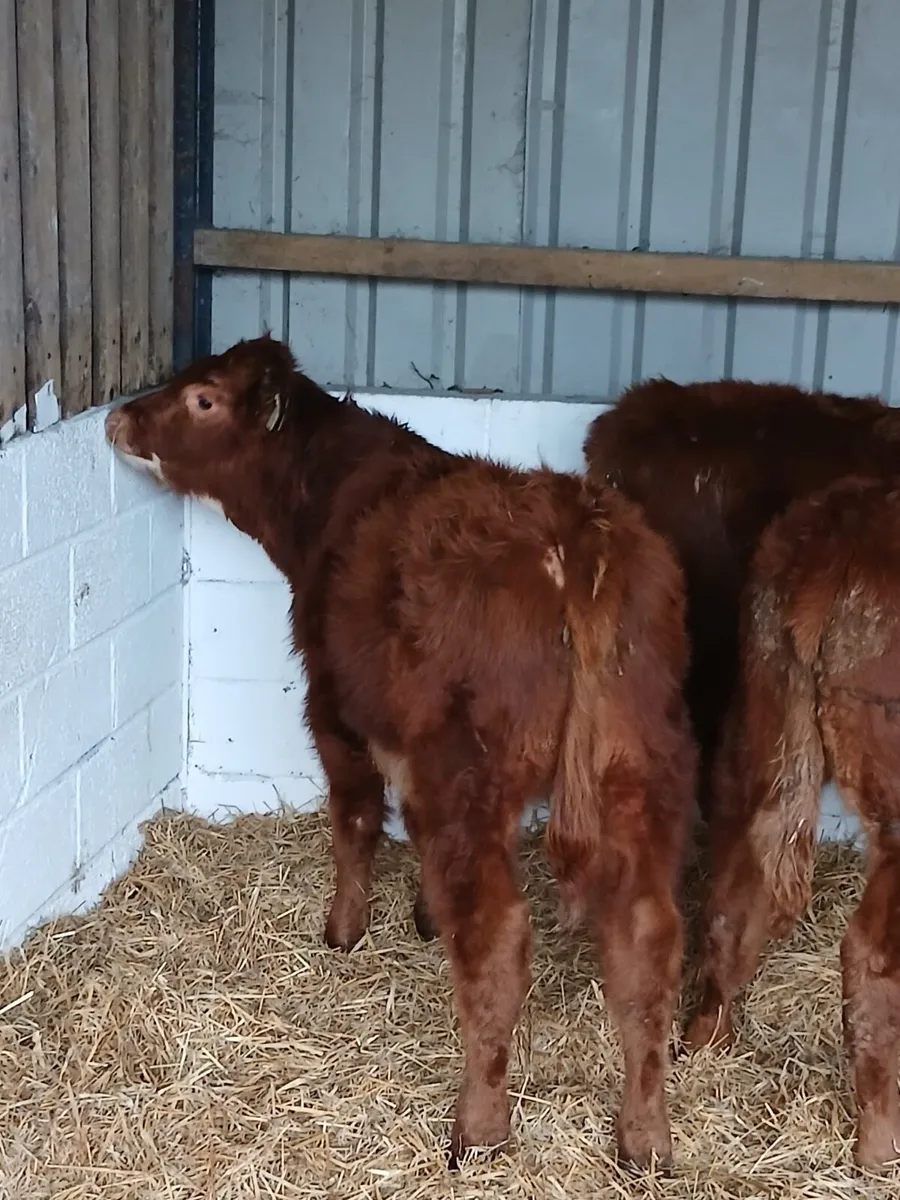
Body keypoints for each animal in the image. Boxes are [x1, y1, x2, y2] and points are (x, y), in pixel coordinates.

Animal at [105, 335, 697, 1169]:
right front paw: (421, 913)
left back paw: (478, 1125)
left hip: (472, 772)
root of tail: (576, 527)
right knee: (646, 937)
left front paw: (345, 929)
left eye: (204, 399)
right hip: (641, 765)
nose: (118, 418)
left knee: (498, 936)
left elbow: (355, 816)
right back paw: (644, 1134)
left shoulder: (333, 705)